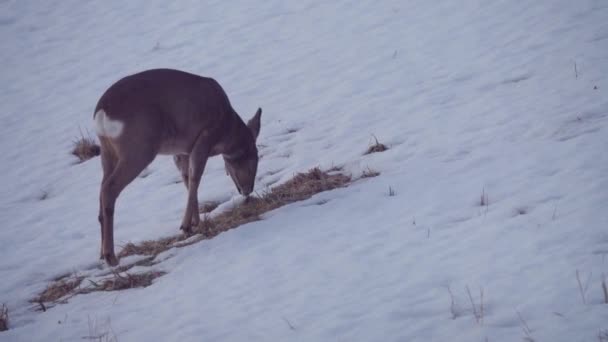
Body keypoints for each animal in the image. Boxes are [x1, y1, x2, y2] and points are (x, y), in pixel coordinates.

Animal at [94, 69, 260, 268]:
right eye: (255, 160)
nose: (248, 190)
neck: (227, 128)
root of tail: (102, 112)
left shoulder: (182, 151)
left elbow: (187, 179)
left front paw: (195, 222)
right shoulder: (204, 137)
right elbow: (195, 177)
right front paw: (187, 225)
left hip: (107, 152)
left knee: (101, 188)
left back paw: (102, 254)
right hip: (140, 149)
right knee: (109, 188)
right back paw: (111, 256)